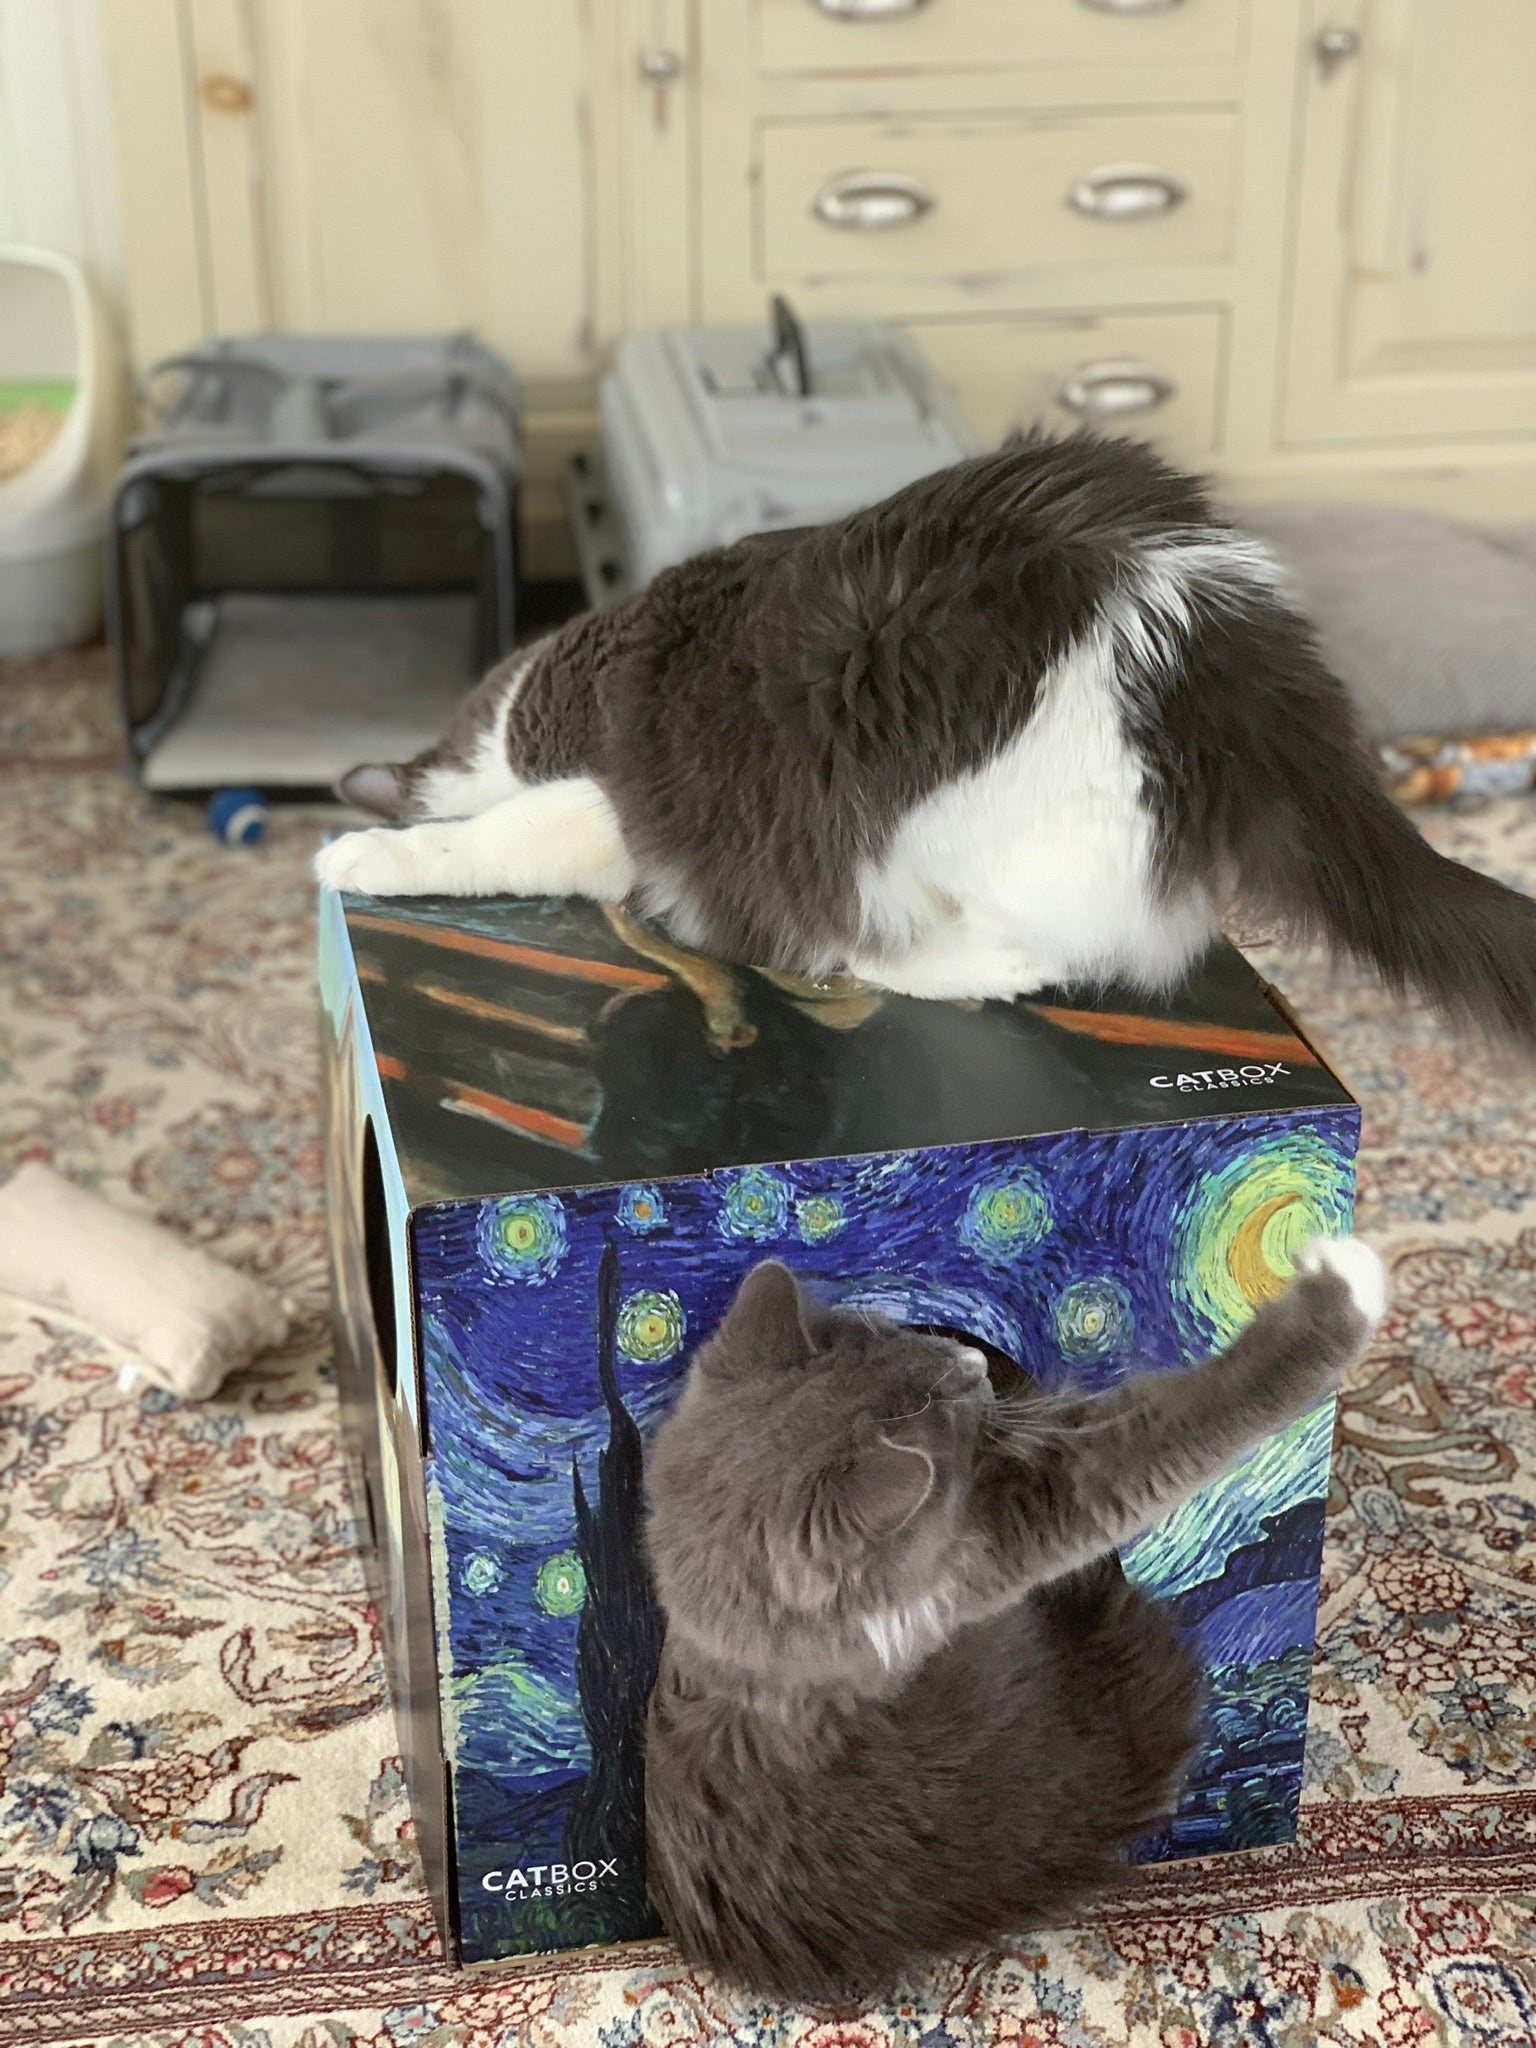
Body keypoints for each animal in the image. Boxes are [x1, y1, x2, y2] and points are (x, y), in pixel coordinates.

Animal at [315, 430, 1536, 1040]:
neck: (528, 697)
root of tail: (1220, 647)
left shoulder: (607, 806)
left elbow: (482, 839)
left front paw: (358, 856)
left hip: (910, 809)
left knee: (1002, 954)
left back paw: (936, 961)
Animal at [643, 1228, 1392, 1998]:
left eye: (905, 1336)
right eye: (945, 1403)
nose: (976, 1359)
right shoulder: (1009, 1534)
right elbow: (1167, 1426)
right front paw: (1343, 1295)